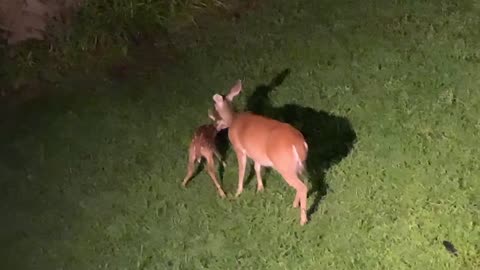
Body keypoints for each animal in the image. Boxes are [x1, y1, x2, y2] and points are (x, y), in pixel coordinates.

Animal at [212, 80, 310, 226]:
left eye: (215, 110)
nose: (215, 127)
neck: (234, 119)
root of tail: (298, 145)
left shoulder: (239, 149)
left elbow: (242, 170)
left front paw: (238, 192)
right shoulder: (256, 154)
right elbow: (257, 168)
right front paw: (260, 189)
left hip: (284, 166)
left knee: (302, 187)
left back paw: (303, 220)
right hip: (299, 165)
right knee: (305, 182)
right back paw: (294, 205)